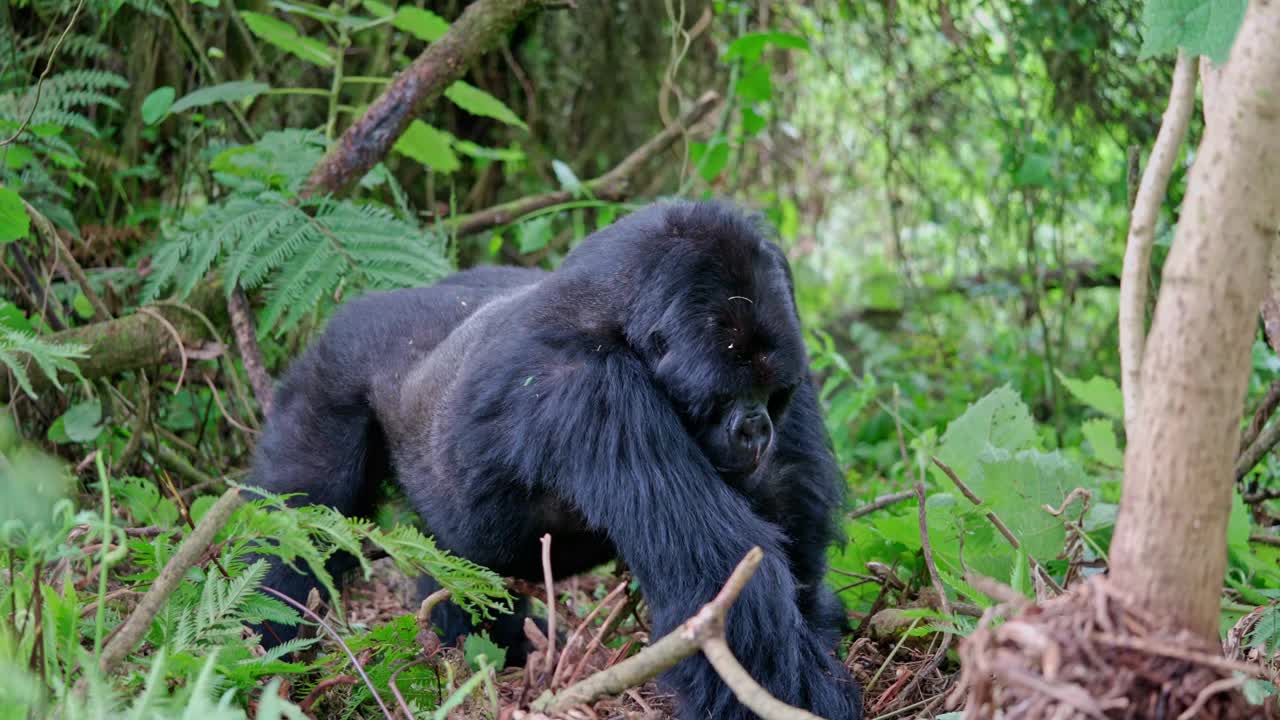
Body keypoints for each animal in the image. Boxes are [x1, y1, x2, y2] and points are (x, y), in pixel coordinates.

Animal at [247, 197, 870, 717]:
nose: (757, 429)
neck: (619, 313)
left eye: (771, 392)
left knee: (454, 564)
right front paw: (802, 698)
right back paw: (263, 644)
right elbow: (719, 580)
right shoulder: (591, 388)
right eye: (725, 396)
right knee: (297, 524)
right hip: (333, 369)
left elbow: (791, 508)